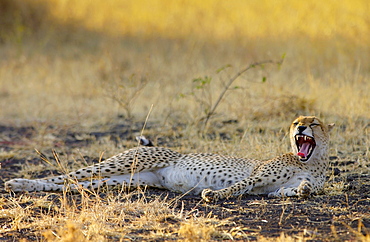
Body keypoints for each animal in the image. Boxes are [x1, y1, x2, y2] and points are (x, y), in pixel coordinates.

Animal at [4, 116, 334, 201]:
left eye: (314, 122)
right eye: (296, 122)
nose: (301, 128)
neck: (311, 161)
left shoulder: (278, 189)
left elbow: (296, 190)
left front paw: (303, 189)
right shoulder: (256, 177)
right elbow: (238, 186)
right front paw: (212, 195)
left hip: (122, 180)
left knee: (70, 186)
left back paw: (24, 187)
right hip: (125, 162)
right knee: (65, 175)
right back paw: (16, 182)